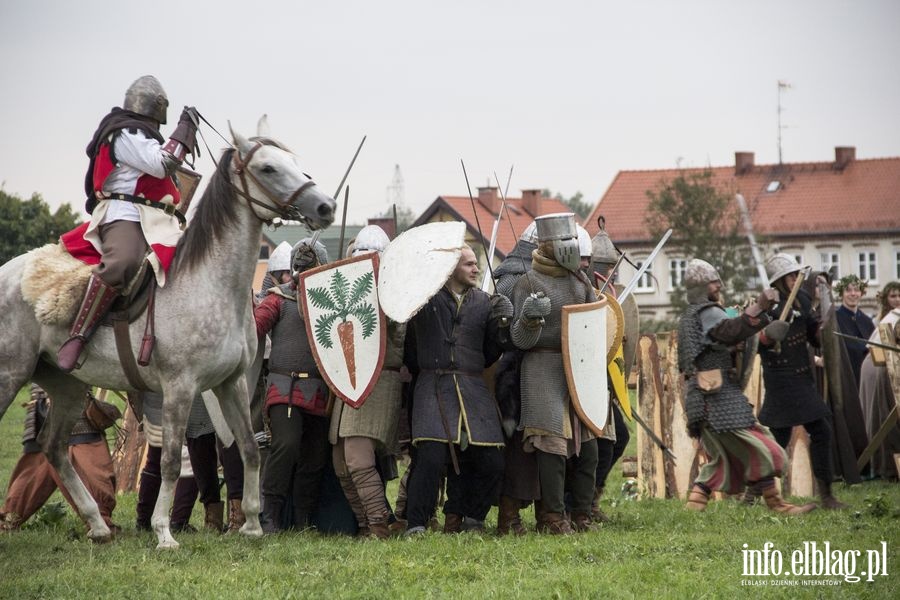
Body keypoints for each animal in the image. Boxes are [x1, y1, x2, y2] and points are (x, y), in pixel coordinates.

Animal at [0, 117, 336, 548]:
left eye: (292, 162)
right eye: (268, 168)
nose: (325, 206)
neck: (211, 284)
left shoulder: (230, 383)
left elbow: (248, 448)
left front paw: (252, 525)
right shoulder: (180, 388)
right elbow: (174, 461)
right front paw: (164, 532)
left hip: (68, 384)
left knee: (55, 447)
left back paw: (97, 525)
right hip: (11, 374)